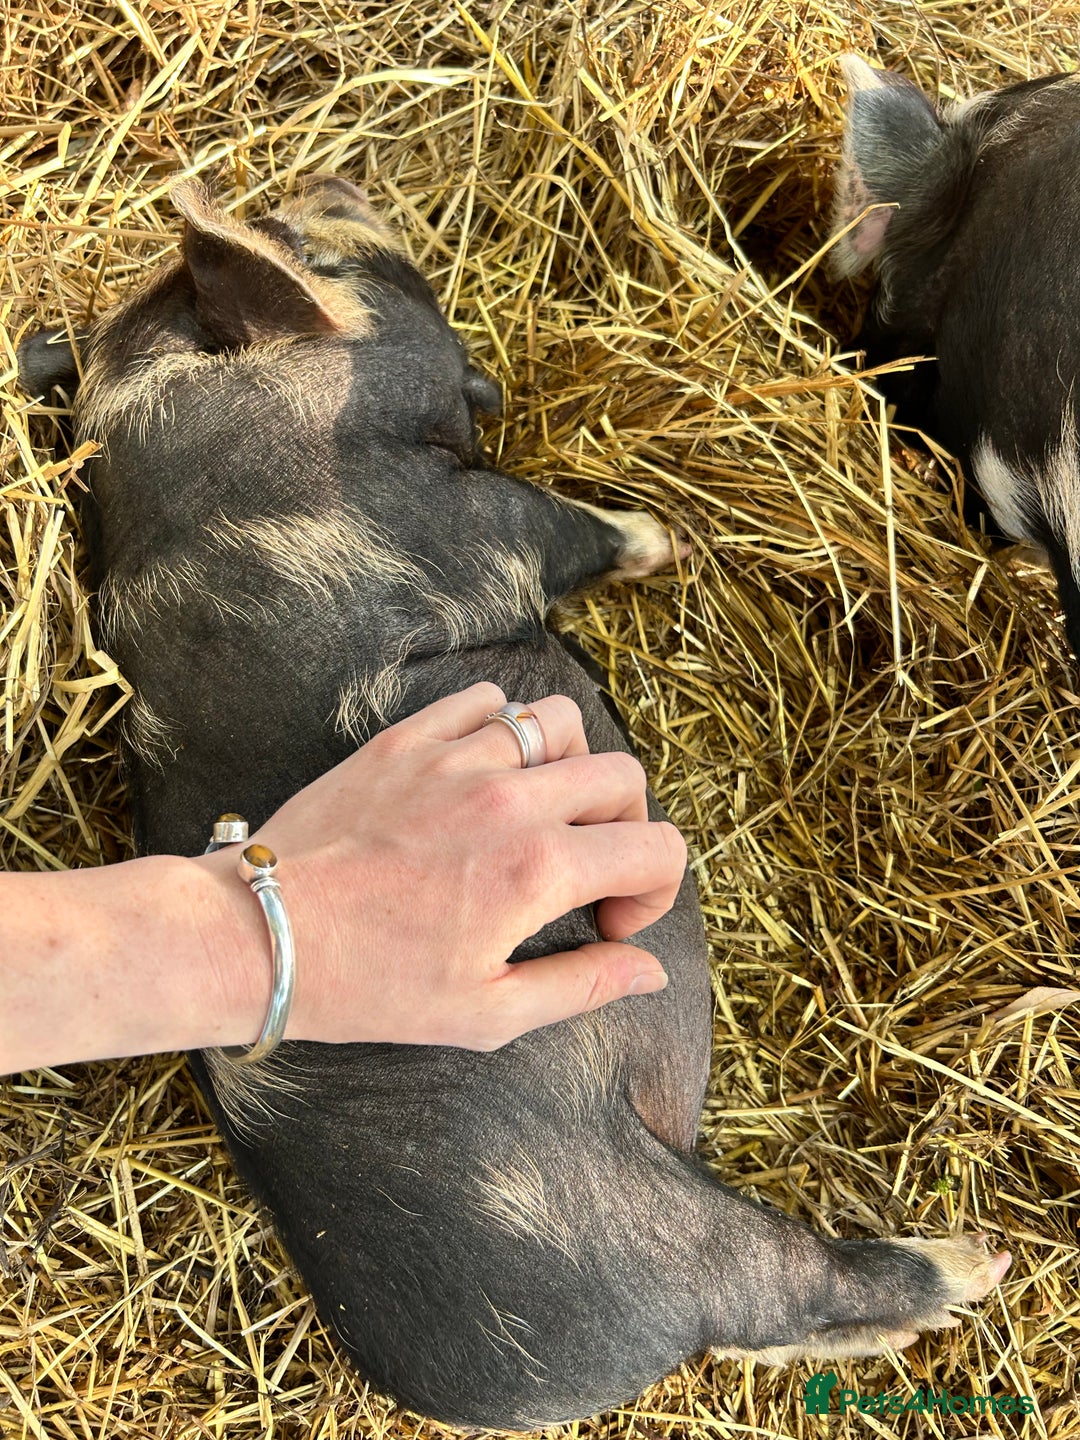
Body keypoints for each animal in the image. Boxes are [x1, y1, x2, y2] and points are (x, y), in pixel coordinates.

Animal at [19, 174, 1010, 1429]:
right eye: (315, 245)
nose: (337, 184)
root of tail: (531, 1382)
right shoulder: (474, 519)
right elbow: (566, 529)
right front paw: (658, 533)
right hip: (656, 1227)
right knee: (791, 1291)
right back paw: (977, 1260)